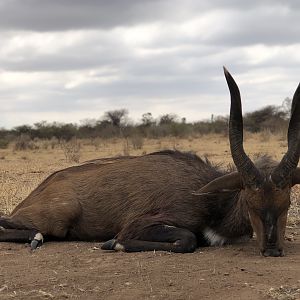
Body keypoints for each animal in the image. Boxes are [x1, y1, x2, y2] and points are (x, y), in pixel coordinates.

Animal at [0, 68, 298, 255]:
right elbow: (187, 239)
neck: (215, 202)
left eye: (287, 203)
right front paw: (113, 244)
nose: (273, 250)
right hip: (59, 219)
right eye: (250, 202)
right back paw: (35, 238)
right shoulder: (142, 224)